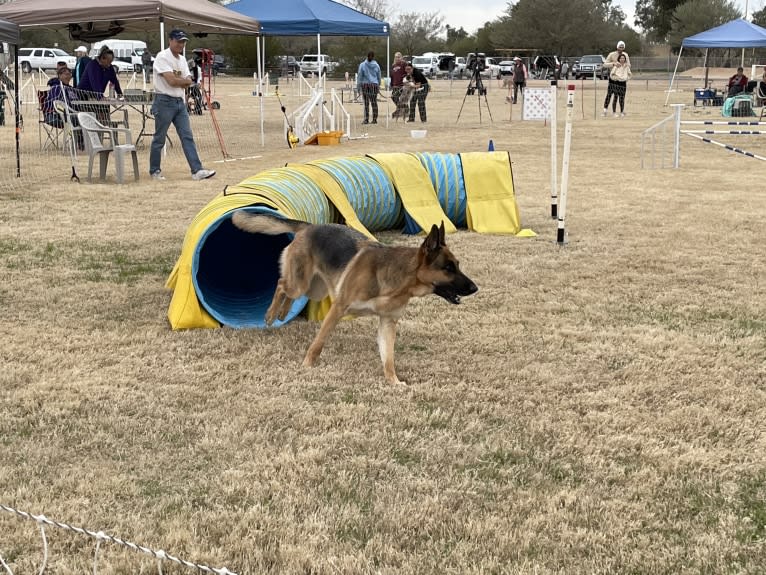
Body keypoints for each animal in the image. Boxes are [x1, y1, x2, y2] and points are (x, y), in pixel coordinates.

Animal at [231, 213, 476, 388]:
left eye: (457, 265)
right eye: (448, 268)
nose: (475, 288)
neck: (400, 280)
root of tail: (309, 227)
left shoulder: (387, 322)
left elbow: (388, 357)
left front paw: (394, 381)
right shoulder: (338, 308)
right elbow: (318, 343)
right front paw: (307, 365)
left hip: (314, 289)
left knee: (290, 292)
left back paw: (282, 314)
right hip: (301, 282)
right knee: (282, 284)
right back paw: (271, 315)